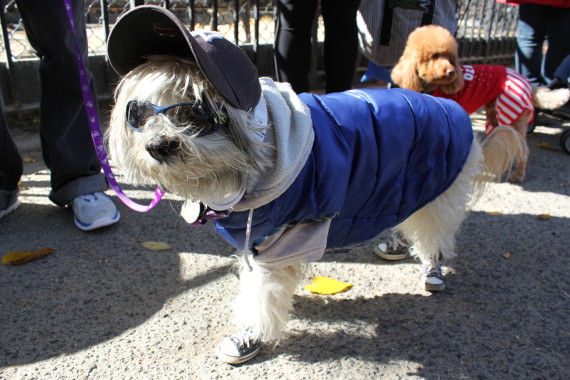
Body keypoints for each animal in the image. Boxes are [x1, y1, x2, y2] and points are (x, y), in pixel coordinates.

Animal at [104, 5, 520, 362]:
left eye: (195, 110)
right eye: (138, 113)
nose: (158, 146)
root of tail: (457, 112)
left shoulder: (284, 238)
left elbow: (261, 294)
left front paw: (250, 333)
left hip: (438, 189)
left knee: (435, 234)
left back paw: (432, 268)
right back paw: (398, 244)